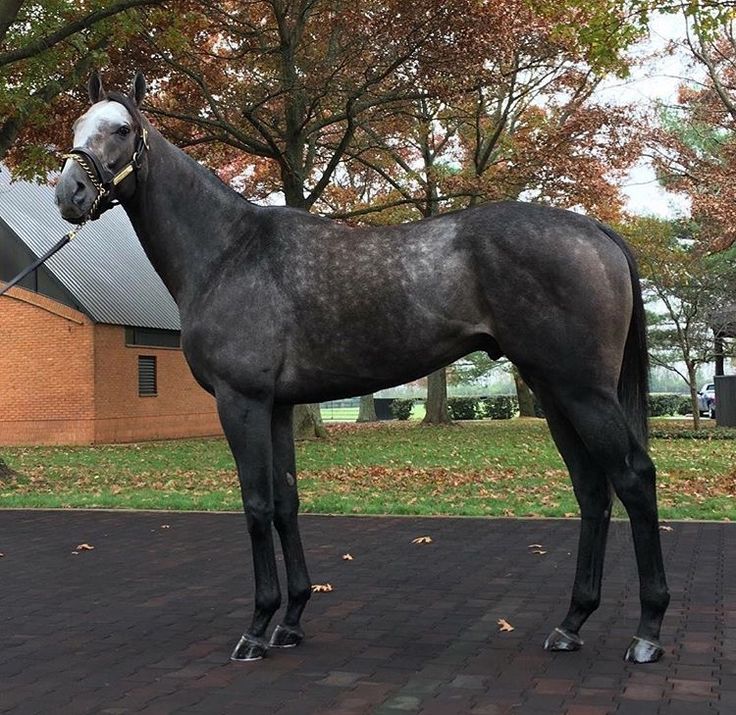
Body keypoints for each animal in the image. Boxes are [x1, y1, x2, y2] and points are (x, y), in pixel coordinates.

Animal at [54, 74, 668, 664]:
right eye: (79, 125)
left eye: (122, 130)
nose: (69, 192)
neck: (229, 251)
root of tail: (597, 232)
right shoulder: (278, 408)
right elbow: (286, 503)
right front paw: (292, 620)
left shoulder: (241, 401)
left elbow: (256, 505)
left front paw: (257, 628)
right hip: (554, 390)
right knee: (592, 490)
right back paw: (571, 624)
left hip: (583, 391)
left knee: (633, 478)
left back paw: (647, 632)